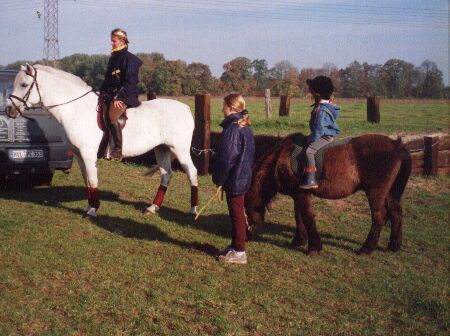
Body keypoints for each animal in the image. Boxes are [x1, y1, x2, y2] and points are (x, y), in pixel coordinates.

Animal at [6, 64, 198, 217]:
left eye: (24, 85)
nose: (9, 110)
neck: (77, 109)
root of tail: (186, 108)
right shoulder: (79, 155)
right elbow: (87, 181)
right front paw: (90, 206)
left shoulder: (88, 154)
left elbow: (92, 180)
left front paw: (93, 210)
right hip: (162, 149)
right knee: (166, 175)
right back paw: (152, 208)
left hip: (180, 150)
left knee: (192, 172)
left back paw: (193, 210)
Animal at [246, 133, 412, 255]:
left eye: (245, 210)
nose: (247, 236)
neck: (281, 158)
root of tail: (397, 146)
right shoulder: (297, 195)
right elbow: (299, 217)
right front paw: (298, 241)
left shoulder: (301, 194)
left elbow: (307, 217)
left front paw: (314, 247)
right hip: (389, 194)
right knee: (396, 213)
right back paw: (393, 246)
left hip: (376, 193)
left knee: (379, 216)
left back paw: (366, 248)